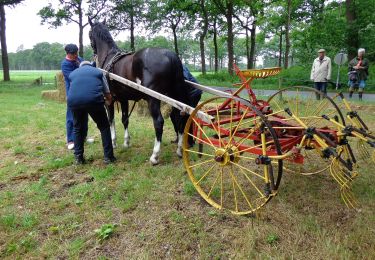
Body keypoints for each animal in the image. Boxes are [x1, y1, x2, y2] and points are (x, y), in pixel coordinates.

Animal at [89, 19, 191, 165]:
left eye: (89, 33)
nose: (93, 51)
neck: (109, 57)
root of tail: (170, 55)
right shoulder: (123, 99)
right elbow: (124, 119)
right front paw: (126, 142)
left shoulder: (109, 100)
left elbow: (111, 120)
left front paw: (114, 142)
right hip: (175, 96)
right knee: (180, 117)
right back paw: (179, 149)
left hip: (153, 99)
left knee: (159, 122)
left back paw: (155, 156)